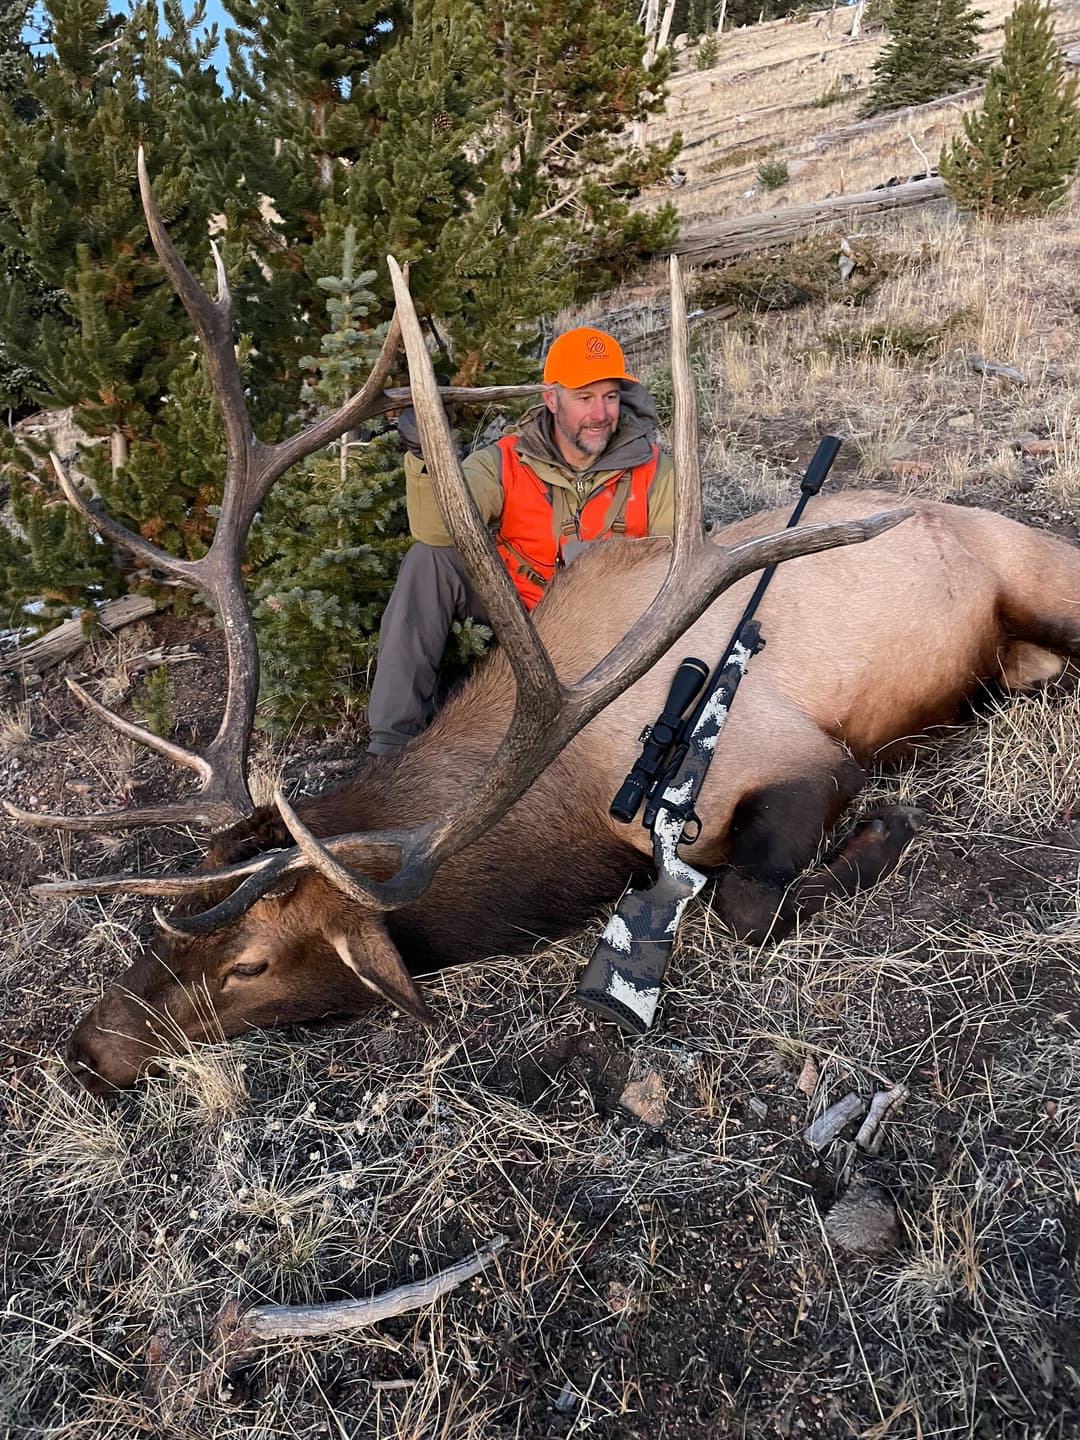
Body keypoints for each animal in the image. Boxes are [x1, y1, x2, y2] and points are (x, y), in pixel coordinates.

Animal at [8, 154, 1080, 1092]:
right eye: (175, 910)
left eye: (252, 967)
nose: (89, 1048)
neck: (566, 819)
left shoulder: (802, 756)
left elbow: (745, 902)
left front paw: (889, 824)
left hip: (1040, 577)